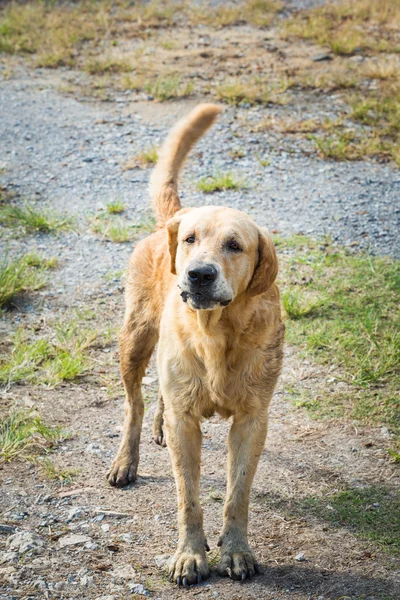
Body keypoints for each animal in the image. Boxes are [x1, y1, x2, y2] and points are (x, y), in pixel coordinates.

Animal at [108, 103, 284, 584]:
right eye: (190, 240)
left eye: (235, 245)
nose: (198, 274)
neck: (216, 334)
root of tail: (175, 213)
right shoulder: (187, 424)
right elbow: (188, 497)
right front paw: (189, 554)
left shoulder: (252, 420)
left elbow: (237, 495)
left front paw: (236, 551)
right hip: (134, 339)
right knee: (135, 404)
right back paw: (126, 459)